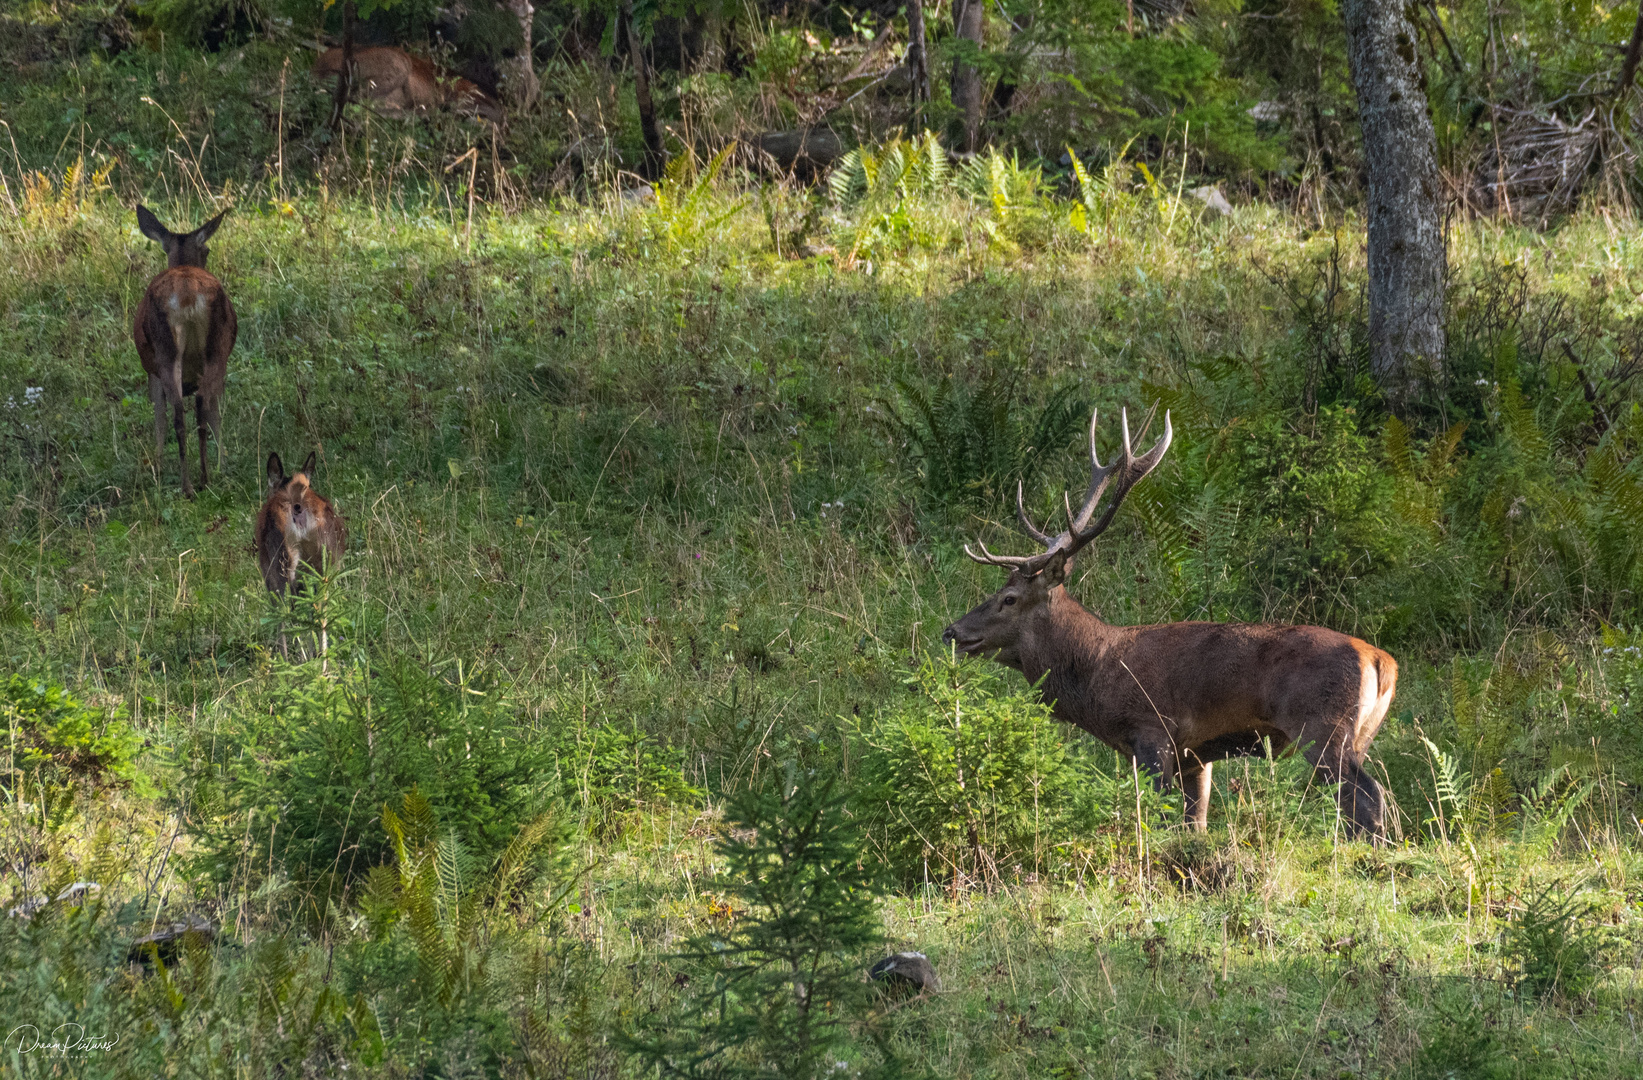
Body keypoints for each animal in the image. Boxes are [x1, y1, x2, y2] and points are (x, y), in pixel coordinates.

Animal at [133, 204, 238, 499]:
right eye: (207, 250)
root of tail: (188, 295)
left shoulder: (151, 371)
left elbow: (159, 418)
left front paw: (157, 464)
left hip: (168, 351)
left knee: (185, 410)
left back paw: (193, 482)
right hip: (215, 350)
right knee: (198, 405)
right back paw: (201, 478)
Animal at [946, 409, 1393, 838]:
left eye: (1009, 598)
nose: (952, 631)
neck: (1096, 675)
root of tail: (1382, 662)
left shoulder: (1151, 729)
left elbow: (1160, 817)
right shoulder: (1195, 755)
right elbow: (1195, 822)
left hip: (1322, 728)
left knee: (1368, 796)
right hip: (1361, 735)